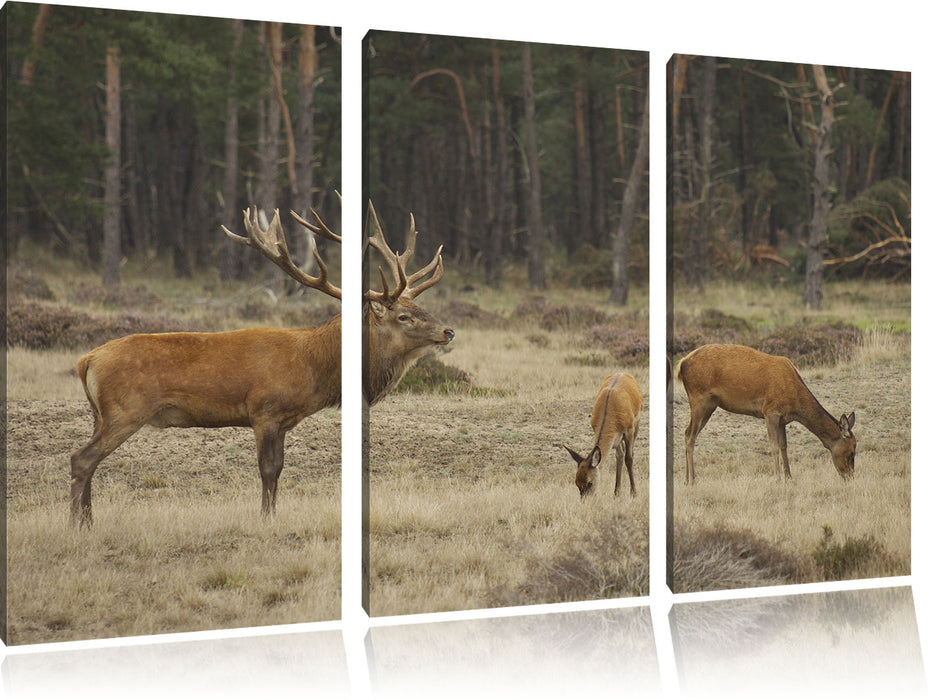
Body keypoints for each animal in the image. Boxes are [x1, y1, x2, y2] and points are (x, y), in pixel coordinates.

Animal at [70, 202, 454, 524]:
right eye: (404, 317)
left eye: (420, 308)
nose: (448, 331)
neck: (314, 366)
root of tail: (86, 359)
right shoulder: (264, 410)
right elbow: (267, 469)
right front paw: (266, 519)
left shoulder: (284, 420)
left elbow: (281, 468)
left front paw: (274, 514)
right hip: (126, 410)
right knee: (82, 459)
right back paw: (77, 523)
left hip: (100, 414)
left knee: (89, 461)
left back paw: (88, 521)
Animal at [680, 342, 856, 484]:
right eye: (851, 452)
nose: (850, 477)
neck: (795, 401)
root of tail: (682, 364)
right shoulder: (770, 411)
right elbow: (774, 446)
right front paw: (777, 479)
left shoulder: (783, 419)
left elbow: (784, 446)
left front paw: (789, 478)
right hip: (698, 399)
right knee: (690, 434)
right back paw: (691, 480)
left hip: (710, 405)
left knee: (688, 433)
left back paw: (688, 479)